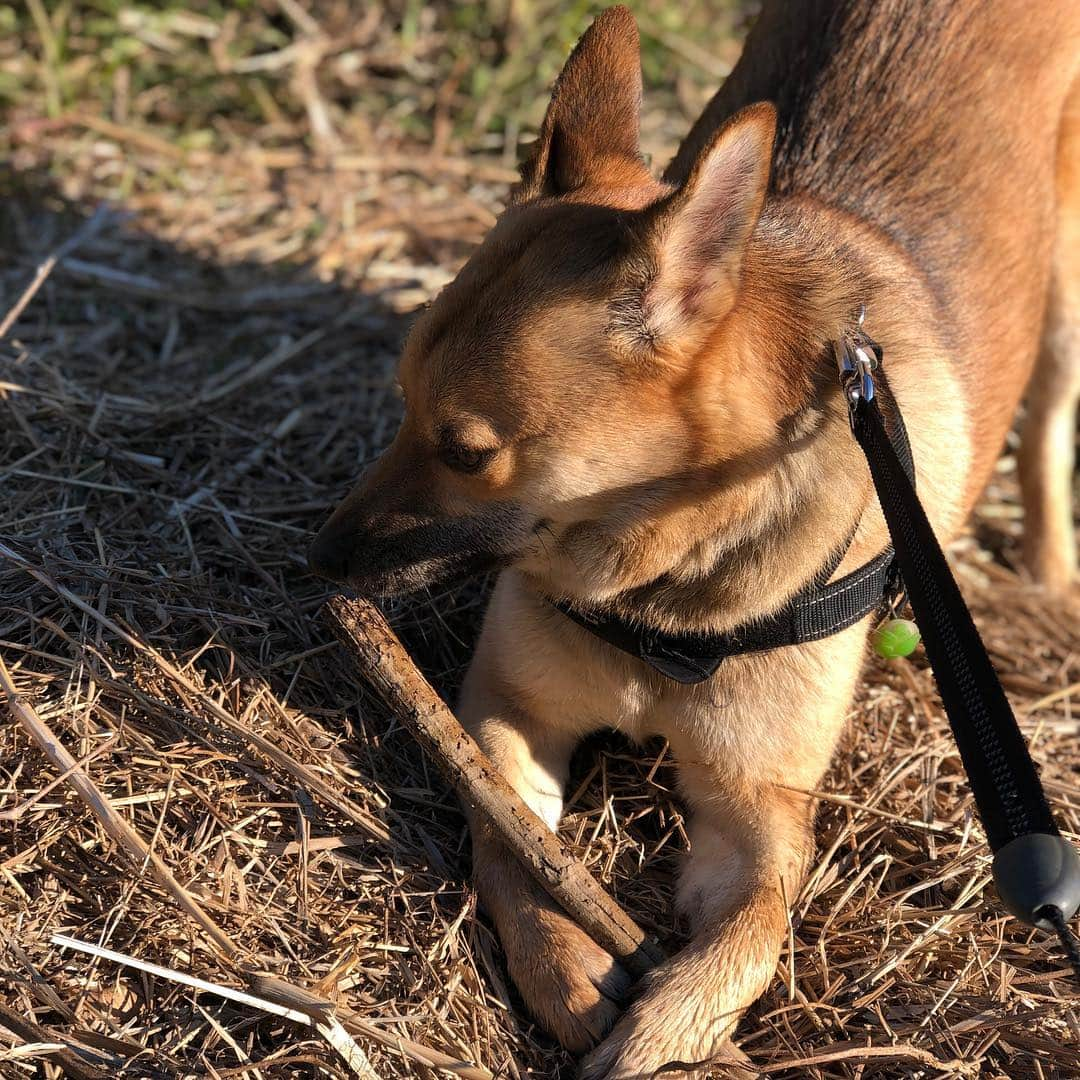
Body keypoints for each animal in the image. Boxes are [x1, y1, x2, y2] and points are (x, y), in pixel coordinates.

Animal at [306, 4, 1080, 1075]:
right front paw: (567, 969)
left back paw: (1049, 572)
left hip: (1066, 297)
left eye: (466, 451)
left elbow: (753, 932)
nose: (320, 563)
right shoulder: (505, 712)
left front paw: (668, 1031)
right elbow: (514, 847)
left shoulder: (759, 816)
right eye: (398, 400)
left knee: (1050, 424)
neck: (659, 588)